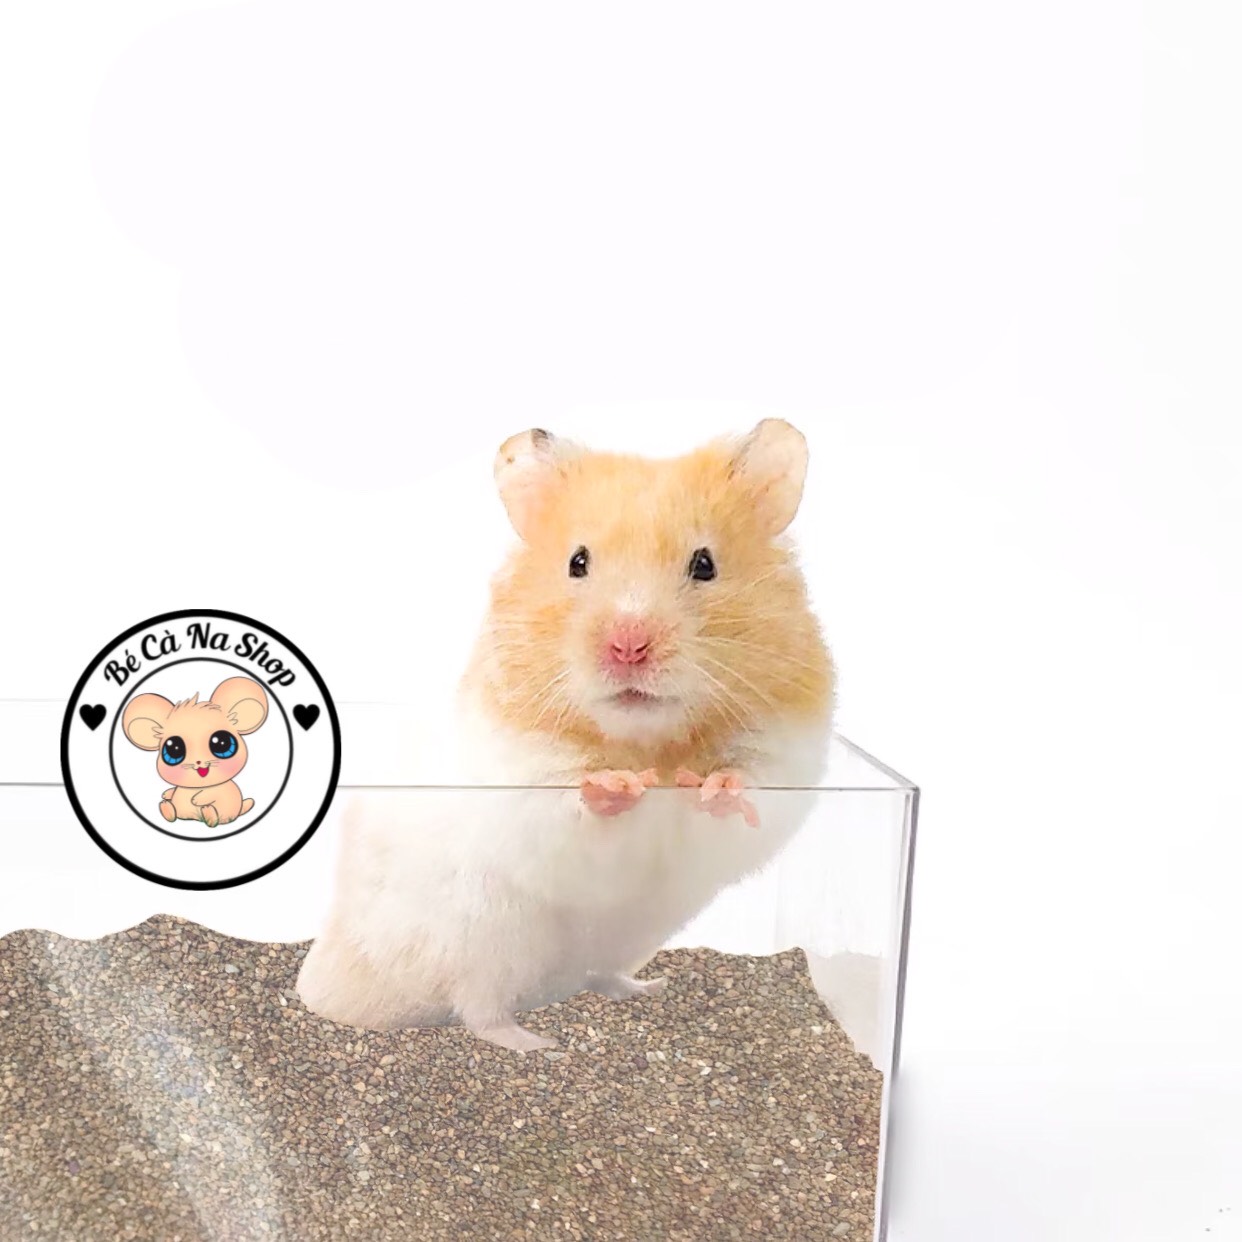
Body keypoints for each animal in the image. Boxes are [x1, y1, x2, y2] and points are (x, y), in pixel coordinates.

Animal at [122, 677, 269, 828]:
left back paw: (208, 812)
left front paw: (197, 800)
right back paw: (166, 807)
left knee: (214, 821)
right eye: (173, 749)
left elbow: (213, 794)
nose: (198, 761)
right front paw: (167, 794)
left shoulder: (222, 792)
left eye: (222, 743)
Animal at [297, 419, 835, 1051]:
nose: (628, 646)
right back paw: (539, 1046)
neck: (646, 738)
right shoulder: (523, 775)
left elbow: (749, 781)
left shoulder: (786, 748)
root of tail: (329, 978)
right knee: (479, 1010)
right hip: (482, 939)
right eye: (578, 562)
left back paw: (649, 988)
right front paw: (620, 786)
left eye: (705, 564)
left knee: (596, 975)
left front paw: (711, 787)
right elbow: (572, 804)